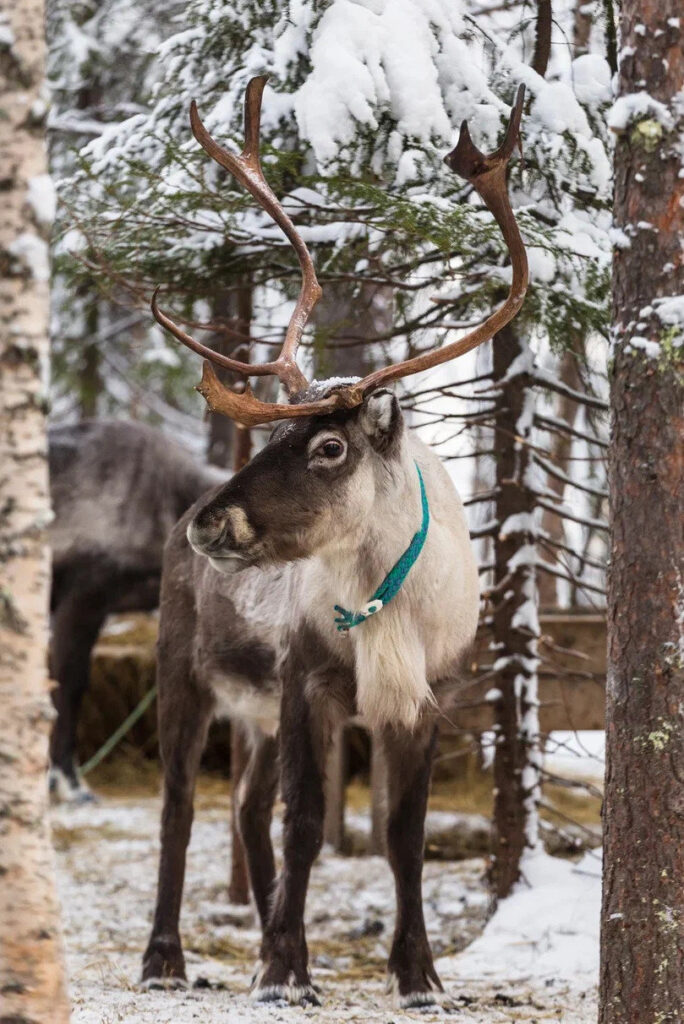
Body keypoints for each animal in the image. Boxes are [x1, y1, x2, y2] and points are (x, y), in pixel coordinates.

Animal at [141, 76, 528, 1007]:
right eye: (276, 435)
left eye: (327, 447)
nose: (210, 522)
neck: (389, 606)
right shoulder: (304, 680)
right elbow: (309, 822)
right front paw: (285, 969)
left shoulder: (429, 697)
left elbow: (401, 835)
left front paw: (417, 973)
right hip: (184, 672)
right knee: (181, 805)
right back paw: (166, 956)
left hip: (251, 713)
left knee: (245, 808)